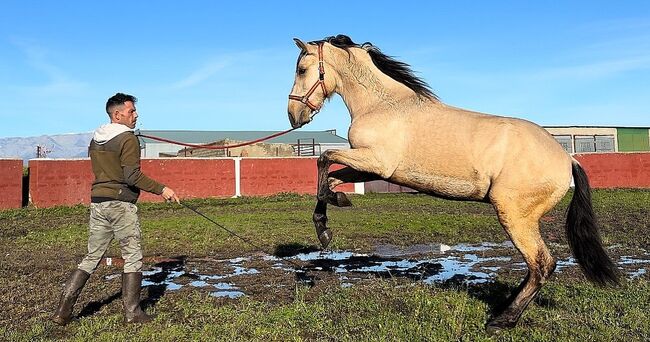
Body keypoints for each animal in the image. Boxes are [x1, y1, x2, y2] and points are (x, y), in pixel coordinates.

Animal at [286, 34, 616, 332]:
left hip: (514, 215)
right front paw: (329, 220)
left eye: (301, 69)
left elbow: (323, 158)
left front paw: (326, 224)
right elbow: (330, 177)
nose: (293, 115)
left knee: (542, 263)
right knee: (536, 266)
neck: (384, 106)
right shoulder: (374, 170)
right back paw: (504, 308)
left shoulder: (376, 161)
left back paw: (501, 321)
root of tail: (567, 158)